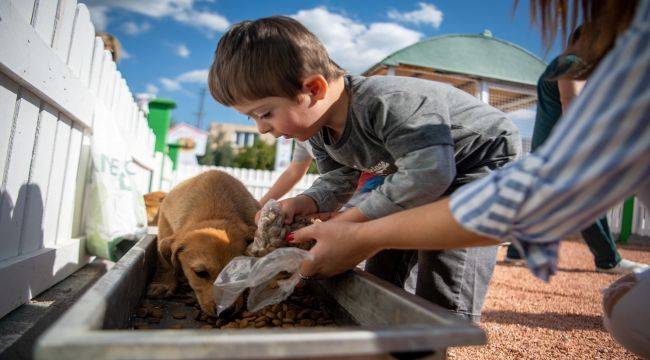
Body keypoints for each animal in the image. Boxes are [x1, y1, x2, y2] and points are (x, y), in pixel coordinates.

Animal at [147, 170, 258, 314]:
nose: (226, 312)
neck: (215, 212)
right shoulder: (164, 222)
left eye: (240, 274)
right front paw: (163, 284)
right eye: (200, 273)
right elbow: (165, 263)